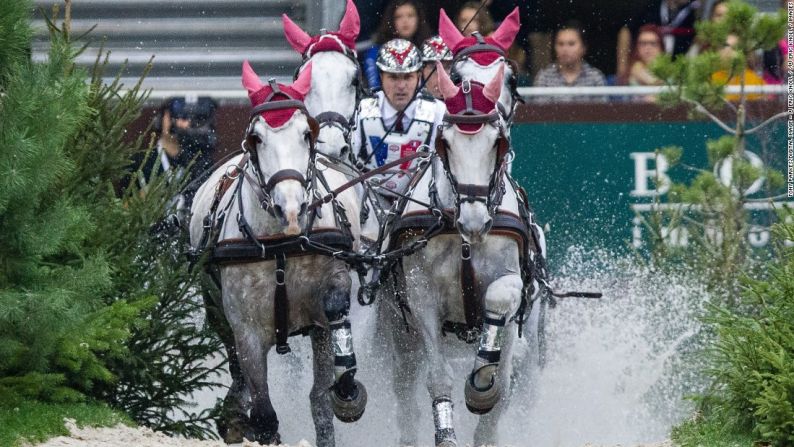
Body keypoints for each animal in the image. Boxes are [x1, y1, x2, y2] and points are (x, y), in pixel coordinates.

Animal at [190, 63, 366, 447]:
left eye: (305, 133)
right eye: (256, 138)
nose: (292, 209)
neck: (281, 246)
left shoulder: (330, 282)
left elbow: (335, 310)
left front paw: (347, 389)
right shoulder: (246, 329)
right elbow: (264, 413)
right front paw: (246, 419)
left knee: (318, 399)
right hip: (215, 308)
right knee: (237, 367)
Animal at [374, 64, 528, 447]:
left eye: (497, 143)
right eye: (446, 144)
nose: (474, 221)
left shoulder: (512, 281)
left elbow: (498, 305)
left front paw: (482, 390)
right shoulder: (422, 296)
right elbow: (438, 377)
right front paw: (445, 434)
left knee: (506, 374)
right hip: (401, 332)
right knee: (404, 386)